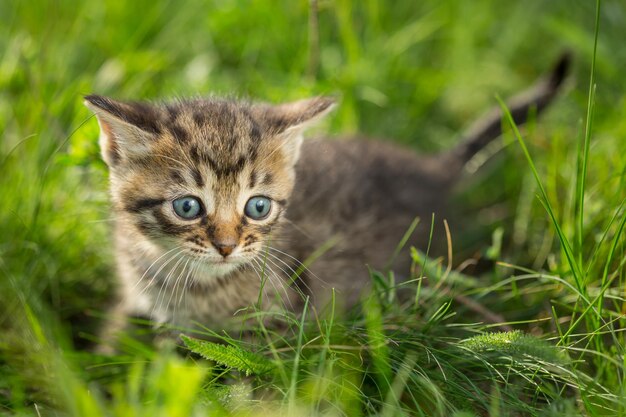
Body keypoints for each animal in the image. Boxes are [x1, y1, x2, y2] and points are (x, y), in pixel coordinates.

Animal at [84, 52, 572, 344]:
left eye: (257, 206)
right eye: (187, 206)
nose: (226, 246)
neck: (194, 283)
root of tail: (434, 171)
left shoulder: (279, 327)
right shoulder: (136, 295)